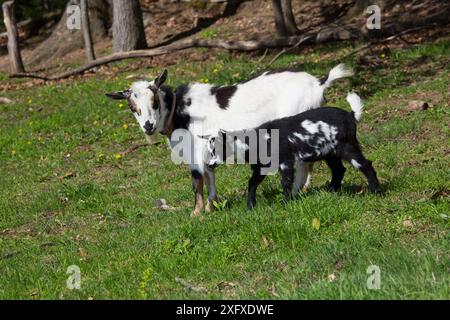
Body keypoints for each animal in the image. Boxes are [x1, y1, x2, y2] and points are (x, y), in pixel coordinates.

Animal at [104, 64, 352, 216]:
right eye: (132, 107)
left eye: (155, 101)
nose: (148, 126)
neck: (178, 111)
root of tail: (319, 83)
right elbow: (209, 174)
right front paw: (211, 205)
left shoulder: (196, 149)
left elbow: (197, 179)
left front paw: (196, 212)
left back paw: (299, 190)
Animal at [207, 93, 380, 208]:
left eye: (215, 150)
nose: (208, 165)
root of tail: (351, 115)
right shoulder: (262, 166)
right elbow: (252, 182)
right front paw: (250, 206)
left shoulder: (285, 161)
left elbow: (286, 182)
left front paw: (285, 203)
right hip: (330, 153)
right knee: (339, 170)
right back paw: (331, 190)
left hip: (346, 146)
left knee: (365, 164)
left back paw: (375, 190)